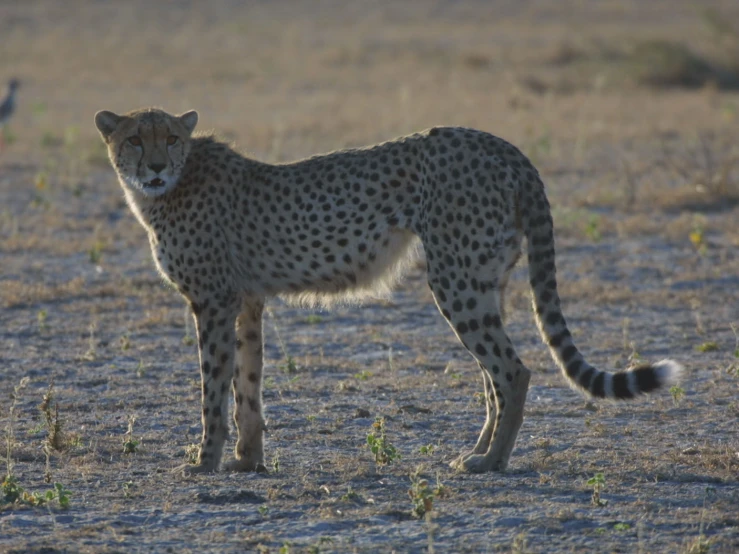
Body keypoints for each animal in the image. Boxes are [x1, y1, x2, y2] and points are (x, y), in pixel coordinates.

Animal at [94, 109, 684, 474]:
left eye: (171, 137)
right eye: (134, 139)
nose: (154, 166)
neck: (168, 189)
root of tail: (500, 144)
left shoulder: (214, 302)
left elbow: (213, 390)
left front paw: (206, 462)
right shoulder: (247, 301)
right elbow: (248, 386)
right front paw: (247, 461)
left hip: (456, 280)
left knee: (513, 371)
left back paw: (492, 463)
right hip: (483, 280)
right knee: (493, 377)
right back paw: (475, 452)